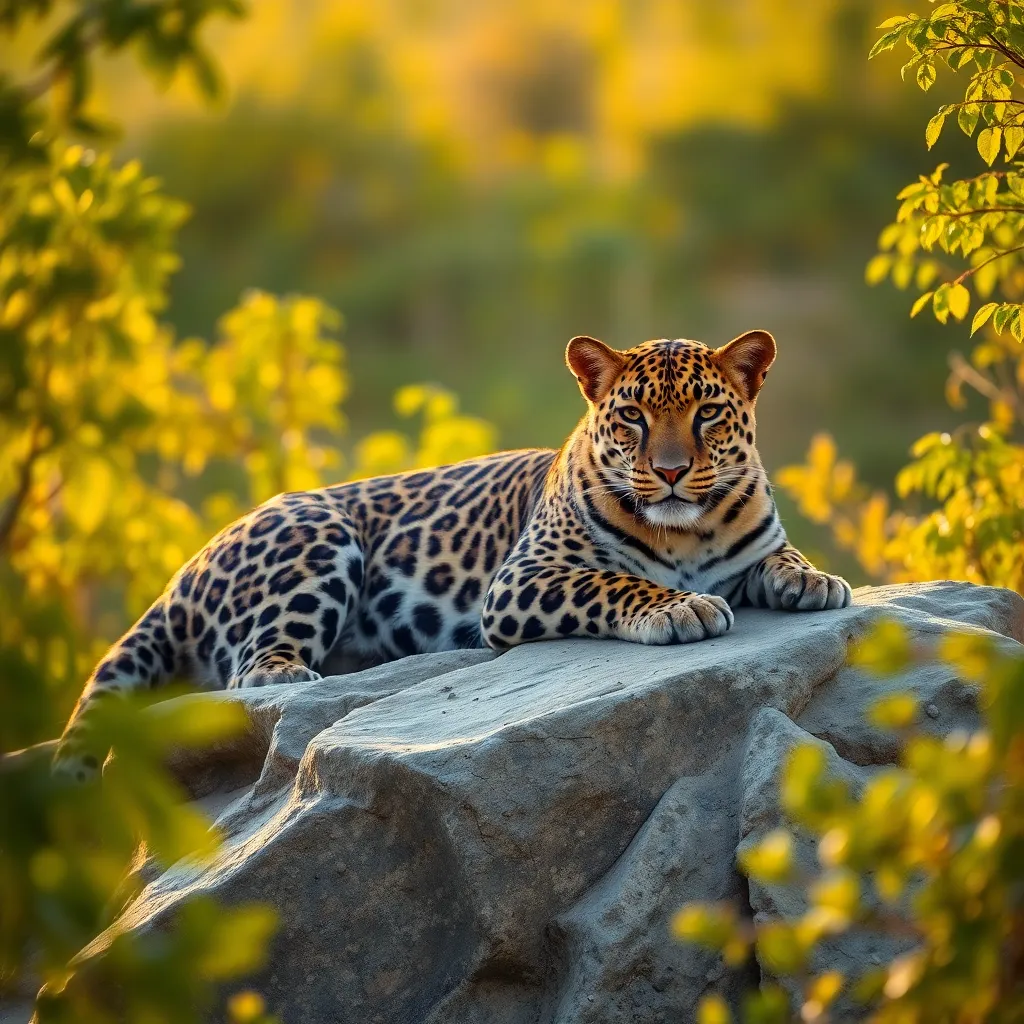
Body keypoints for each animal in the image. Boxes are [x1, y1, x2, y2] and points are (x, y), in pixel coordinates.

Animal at [54, 329, 851, 780]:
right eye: (631, 416)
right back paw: (295, 672)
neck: (686, 530)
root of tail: (180, 575)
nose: (672, 470)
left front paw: (813, 581)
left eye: (708, 413)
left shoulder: (753, 541)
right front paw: (681, 607)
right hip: (315, 534)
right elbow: (614, 583)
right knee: (252, 669)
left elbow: (779, 558)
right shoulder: (524, 580)